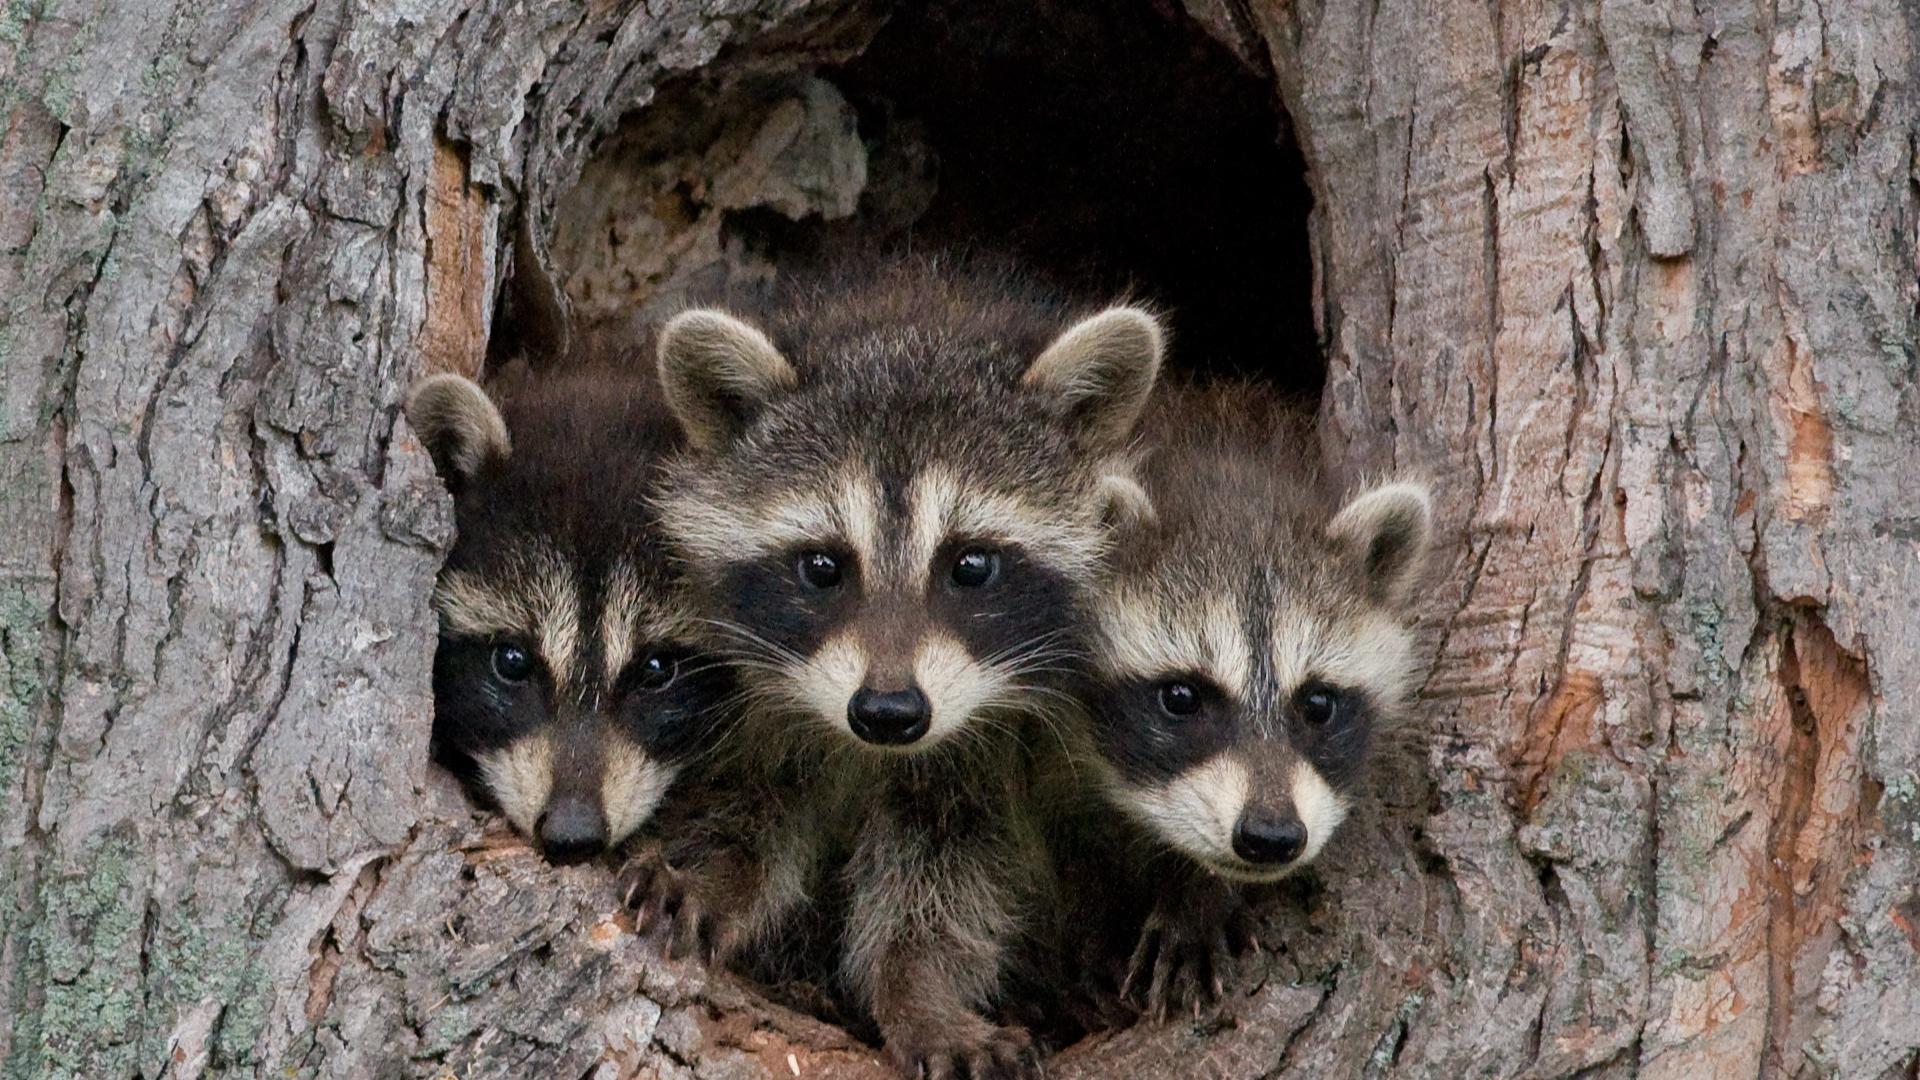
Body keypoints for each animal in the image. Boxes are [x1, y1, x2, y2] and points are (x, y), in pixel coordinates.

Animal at [637, 259, 1162, 1078]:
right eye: (822, 566)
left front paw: (919, 993)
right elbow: (751, 805)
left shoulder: (986, 752)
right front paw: (714, 875)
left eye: (971, 565)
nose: (888, 713)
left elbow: (943, 878)